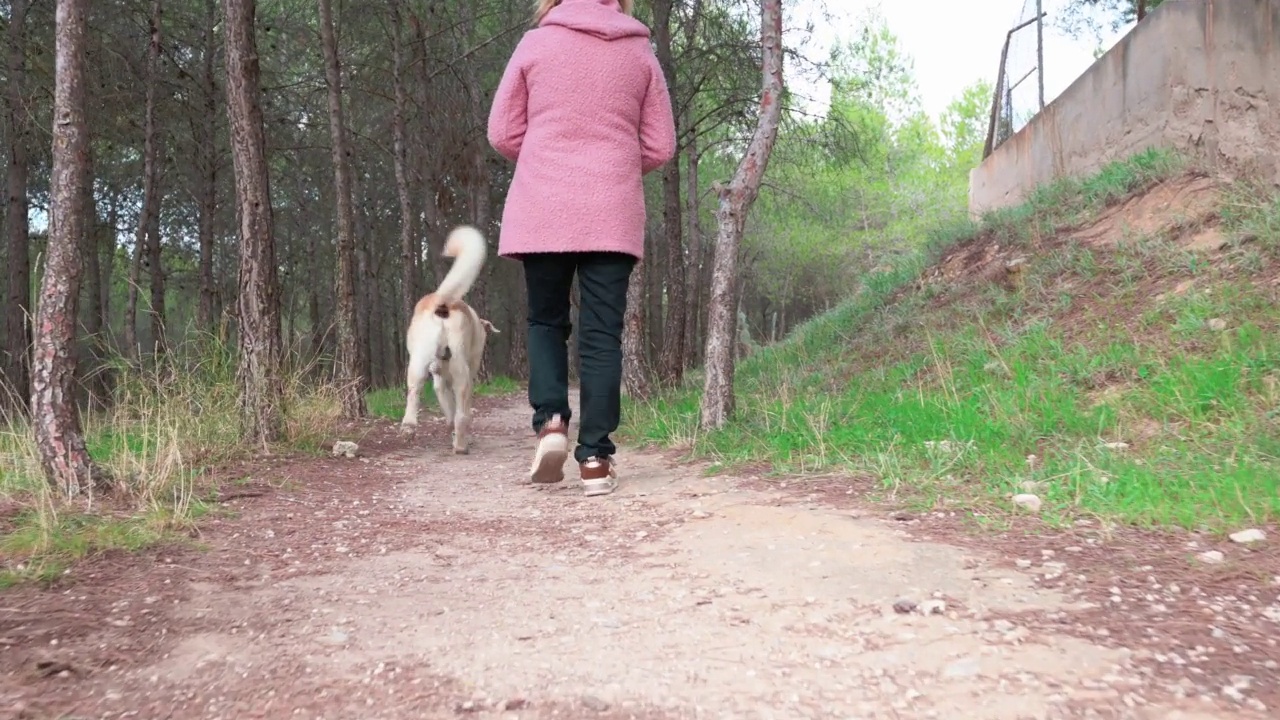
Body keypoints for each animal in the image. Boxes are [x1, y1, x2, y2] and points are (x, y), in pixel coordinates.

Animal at [399, 224, 494, 450]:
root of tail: (442, 301)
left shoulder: (439, 383)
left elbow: (448, 406)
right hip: (462, 370)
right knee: (462, 414)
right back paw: (461, 445)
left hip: (418, 362)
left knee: (413, 392)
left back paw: (409, 428)